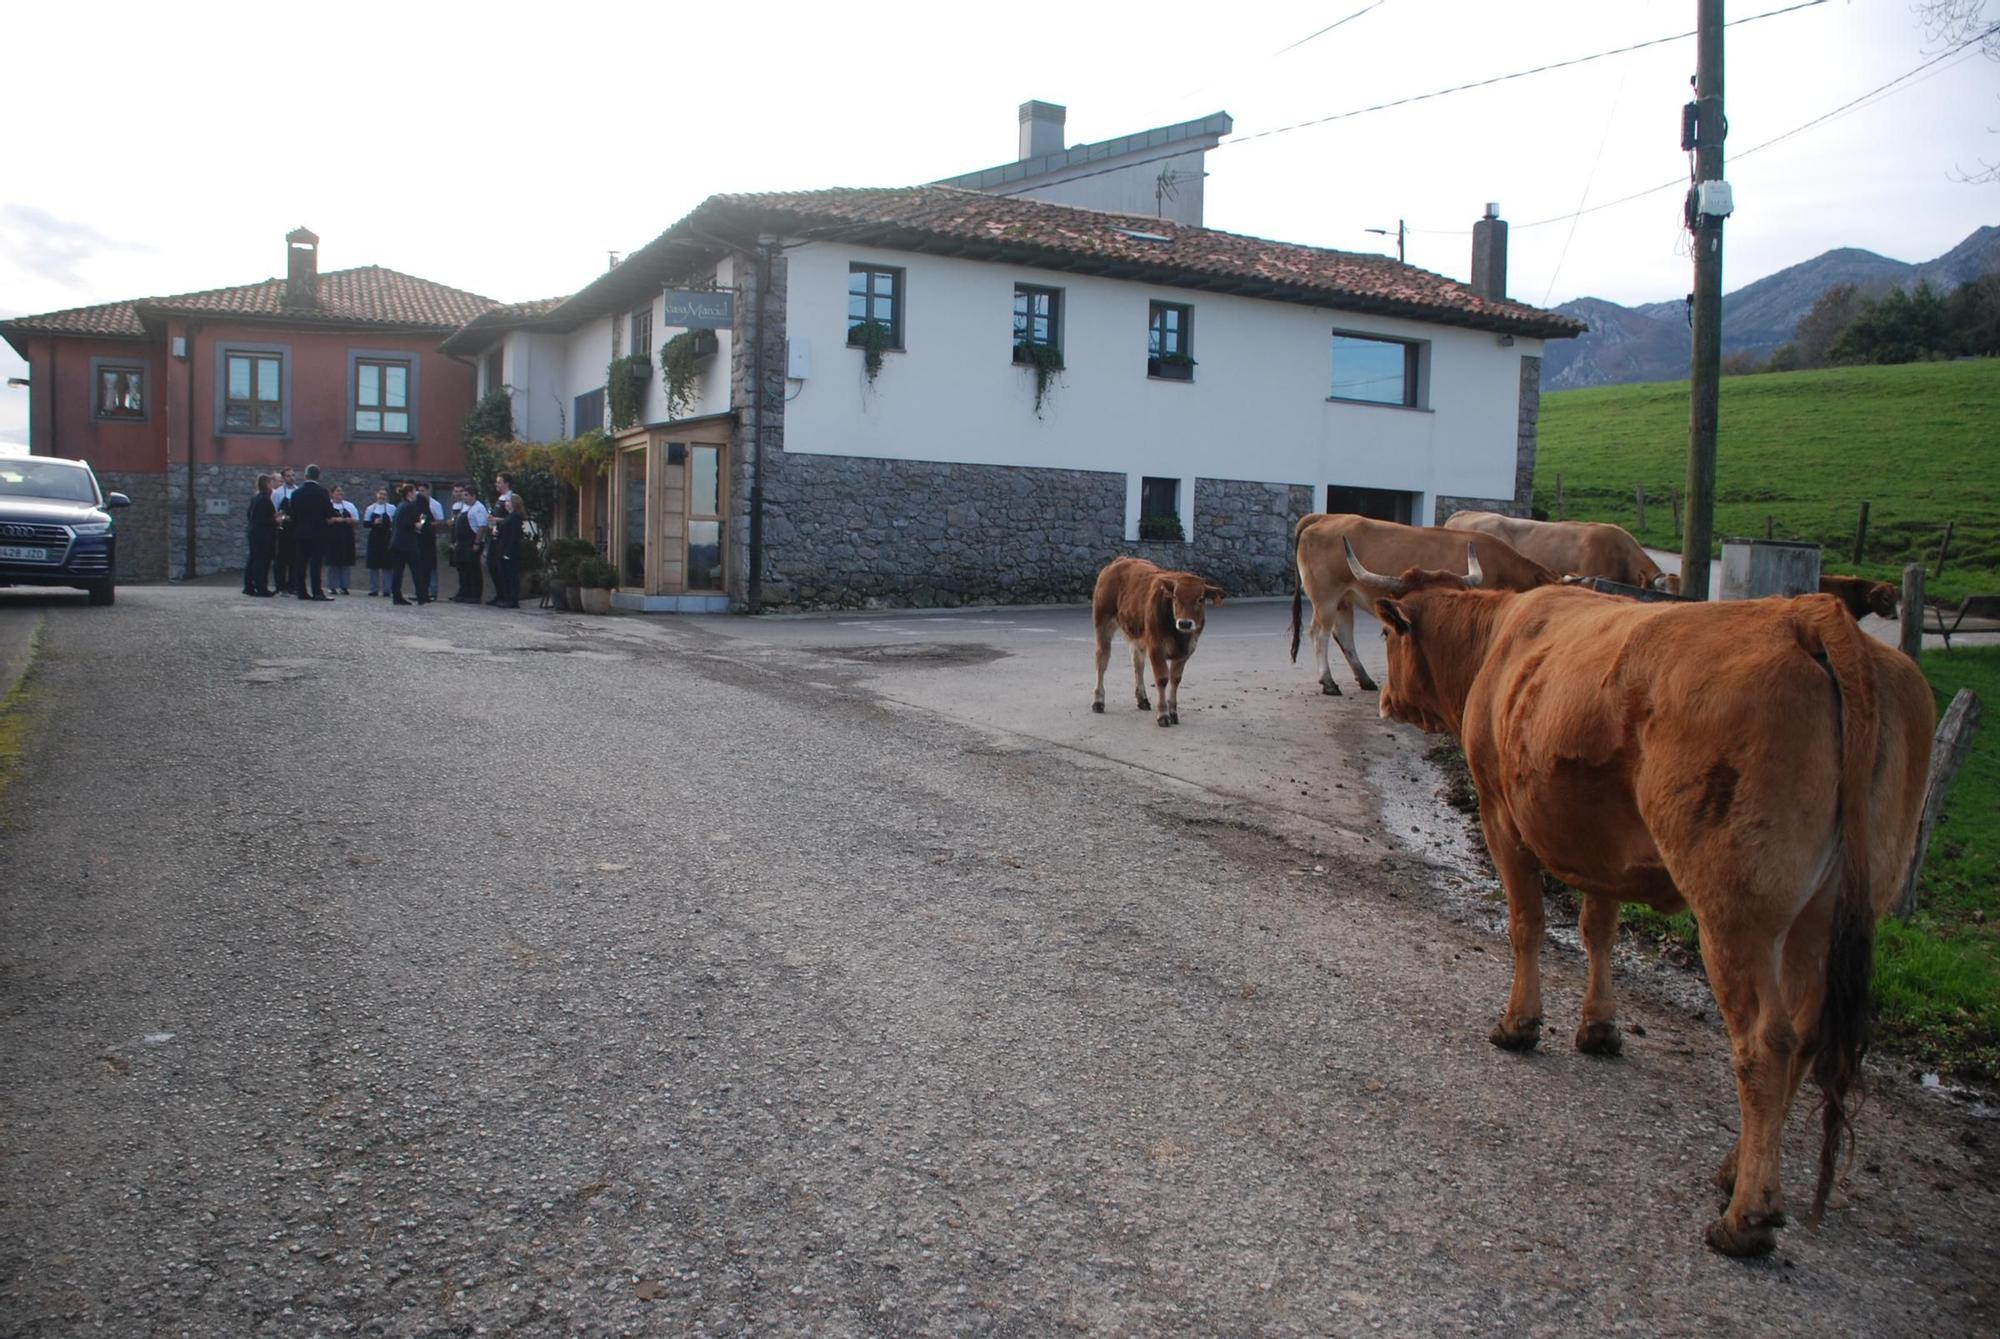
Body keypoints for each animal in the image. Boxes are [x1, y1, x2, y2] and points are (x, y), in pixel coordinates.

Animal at [1096, 555, 1216, 727]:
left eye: (1200, 599)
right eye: (1175, 597)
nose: (1185, 623)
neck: (1178, 634)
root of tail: (1121, 560)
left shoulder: (1186, 651)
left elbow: (1175, 679)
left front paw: (1173, 713)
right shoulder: (1155, 647)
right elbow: (1162, 679)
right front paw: (1163, 715)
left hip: (1137, 636)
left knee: (1137, 663)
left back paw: (1142, 699)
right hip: (1103, 623)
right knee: (1102, 660)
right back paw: (1098, 701)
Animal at [1296, 515, 1560, 699]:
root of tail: (1324, 518)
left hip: (1344, 599)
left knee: (1344, 635)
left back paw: (1365, 680)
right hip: (1326, 597)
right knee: (1319, 634)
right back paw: (1329, 682)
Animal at [1344, 535, 1936, 1263]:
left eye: (1387, 633)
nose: (1384, 699)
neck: (1499, 641)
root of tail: (1812, 616)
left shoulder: (1500, 813)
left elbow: (1527, 924)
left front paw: (1520, 1024)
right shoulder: (1601, 843)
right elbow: (1598, 928)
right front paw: (1599, 1027)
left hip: (1736, 909)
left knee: (1765, 1041)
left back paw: (1747, 1216)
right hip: (1829, 908)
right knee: (1804, 1030)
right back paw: (1736, 1169)